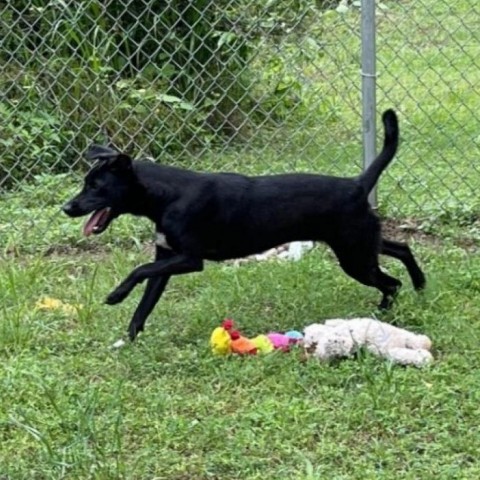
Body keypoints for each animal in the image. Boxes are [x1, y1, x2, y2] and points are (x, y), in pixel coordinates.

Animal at [62, 109, 424, 342]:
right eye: (86, 183)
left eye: (96, 187)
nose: (67, 208)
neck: (165, 195)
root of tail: (357, 184)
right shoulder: (165, 259)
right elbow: (144, 304)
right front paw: (128, 341)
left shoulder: (189, 259)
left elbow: (138, 270)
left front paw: (116, 294)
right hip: (360, 244)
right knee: (401, 248)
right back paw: (419, 284)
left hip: (354, 256)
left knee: (391, 283)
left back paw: (385, 314)